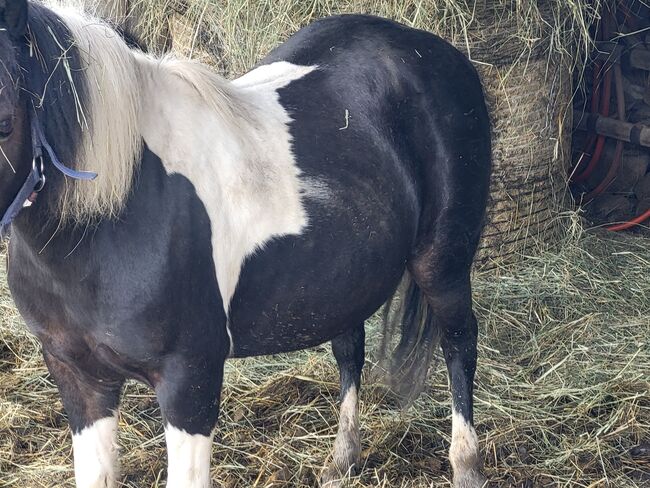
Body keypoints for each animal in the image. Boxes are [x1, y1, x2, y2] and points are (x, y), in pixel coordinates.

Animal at [0, 0, 488, 488]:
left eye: (5, 124)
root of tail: (435, 50)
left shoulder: (189, 381)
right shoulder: (78, 377)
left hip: (441, 265)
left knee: (459, 343)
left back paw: (467, 465)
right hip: (346, 278)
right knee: (350, 350)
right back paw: (342, 459)